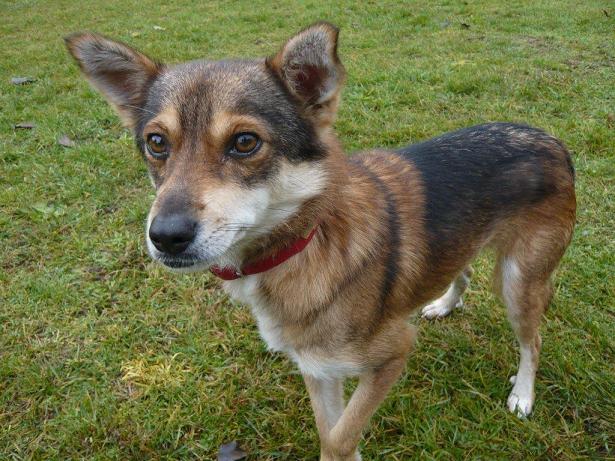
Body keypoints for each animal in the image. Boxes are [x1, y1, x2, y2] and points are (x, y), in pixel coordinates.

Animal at [66, 22, 576, 460]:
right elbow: (330, 431)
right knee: (462, 268)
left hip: (518, 283)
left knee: (533, 342)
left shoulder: (393, 353)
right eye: (156, 142)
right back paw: (445, 303)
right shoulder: (317, 367)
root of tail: (550, 138)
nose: (166, 236)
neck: (307, 242)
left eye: (245, 142)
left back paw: (522, 395)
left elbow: (338, 437)